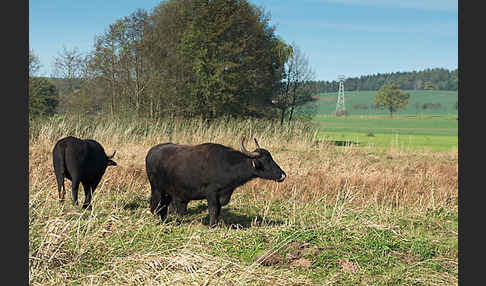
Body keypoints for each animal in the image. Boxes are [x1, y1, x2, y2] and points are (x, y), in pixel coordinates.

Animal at [146, 137, 286, 227]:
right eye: (266, 160)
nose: (283, 175)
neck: (227, 164)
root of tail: (151, 152)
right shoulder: (212, 193)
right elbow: (213, 209)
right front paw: (212, 226)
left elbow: (218, 210)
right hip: (157, 189)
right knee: (155, 205)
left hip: (168, 192)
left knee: (163, 206)